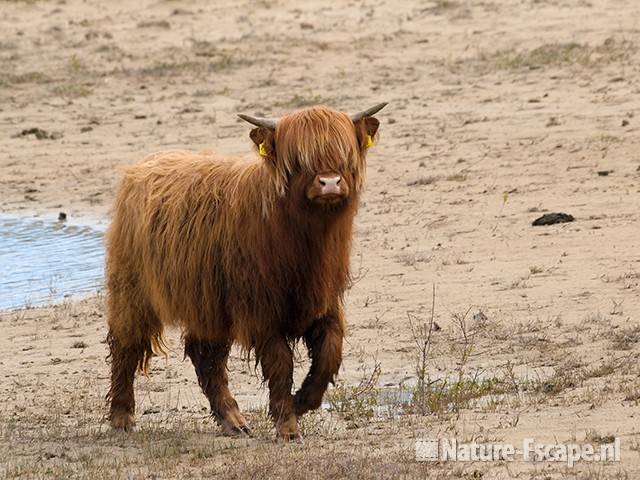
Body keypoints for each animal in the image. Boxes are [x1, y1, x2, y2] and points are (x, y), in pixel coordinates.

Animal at [105, 103, 388, 440]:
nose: (330, 182)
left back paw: (233, 419)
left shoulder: (325, 299)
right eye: (298, 160)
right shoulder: (260, 310)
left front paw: (301, 401)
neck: (304, 243)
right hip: (132, 289)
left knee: (205, 356)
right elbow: (280, 363)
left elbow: (329, 353)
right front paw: (287, 425)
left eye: (345, 154)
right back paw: (121, 417)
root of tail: (143, 166)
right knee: (127, 344)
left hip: (208, 303)